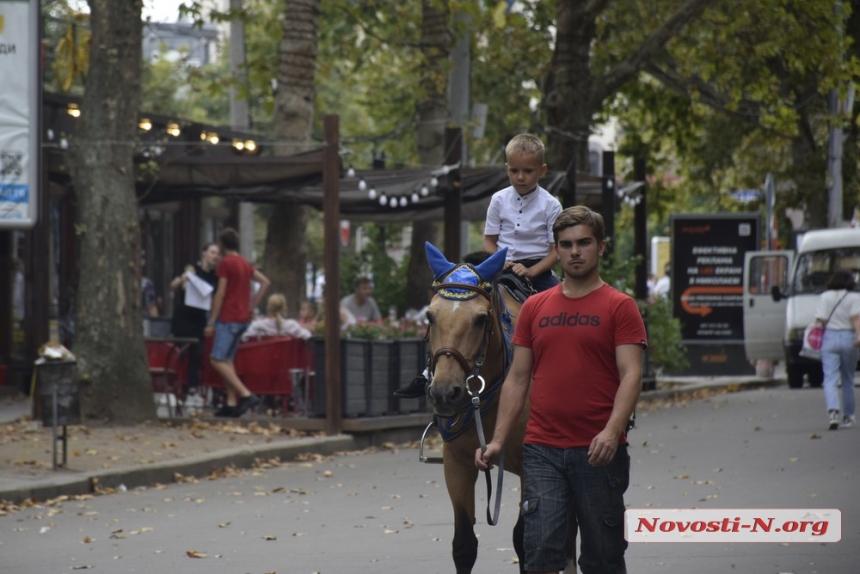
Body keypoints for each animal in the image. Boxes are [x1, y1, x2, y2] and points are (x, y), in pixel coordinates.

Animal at [420, 244, 576, 574]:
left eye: (481, 319)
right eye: (430, 316)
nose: (444, 393)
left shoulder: (534, 464)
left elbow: (525, 540)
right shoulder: (457, 463)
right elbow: (464, 544)